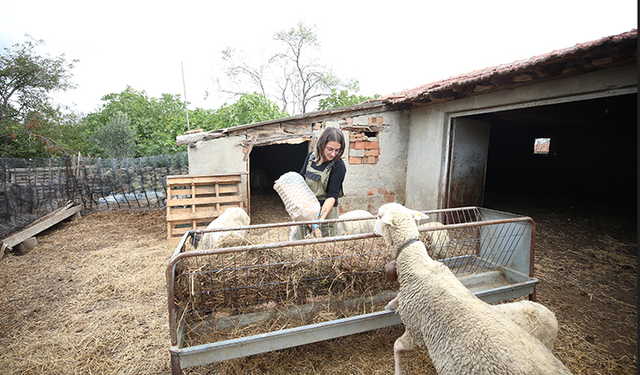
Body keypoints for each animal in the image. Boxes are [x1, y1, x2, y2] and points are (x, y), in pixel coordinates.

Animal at [376, 203, 568, 375]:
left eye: (378, 216)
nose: (374, 227)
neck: (417, 262)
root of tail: (552, 316)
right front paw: (390, 304)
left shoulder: (415, 329)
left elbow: (397, 346)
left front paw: (398, 371)